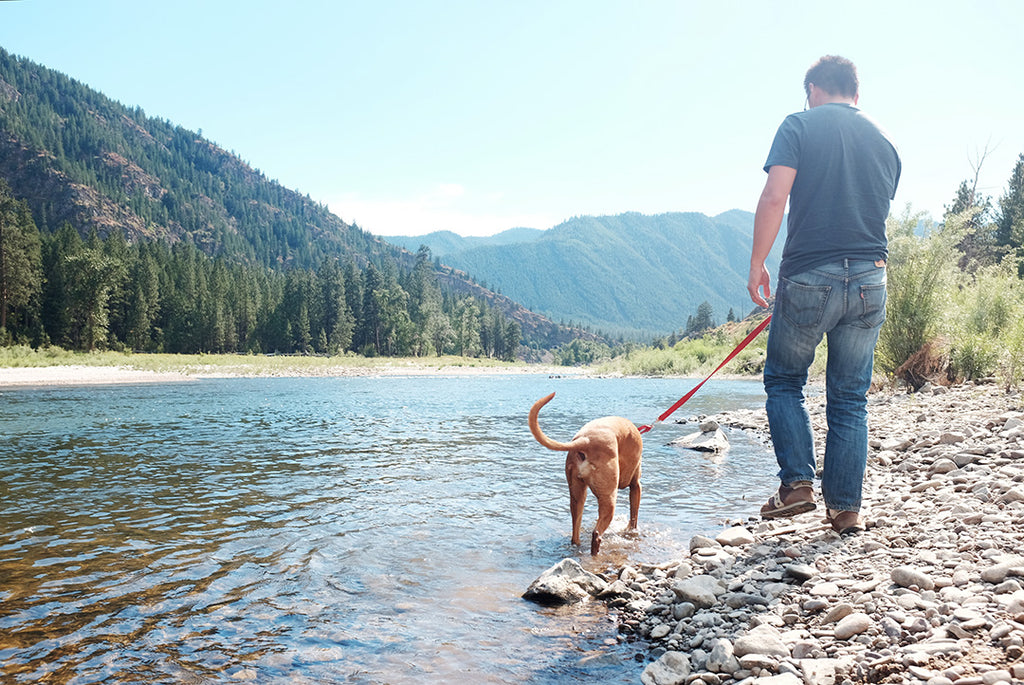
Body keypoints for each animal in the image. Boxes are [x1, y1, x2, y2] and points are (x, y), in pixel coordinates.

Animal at [528, 393, 638, 552]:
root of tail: (585, 441)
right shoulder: (636, 485)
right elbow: (634, 515)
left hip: (577, 496)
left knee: (575, 532)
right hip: (609, 497)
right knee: (596, 534)